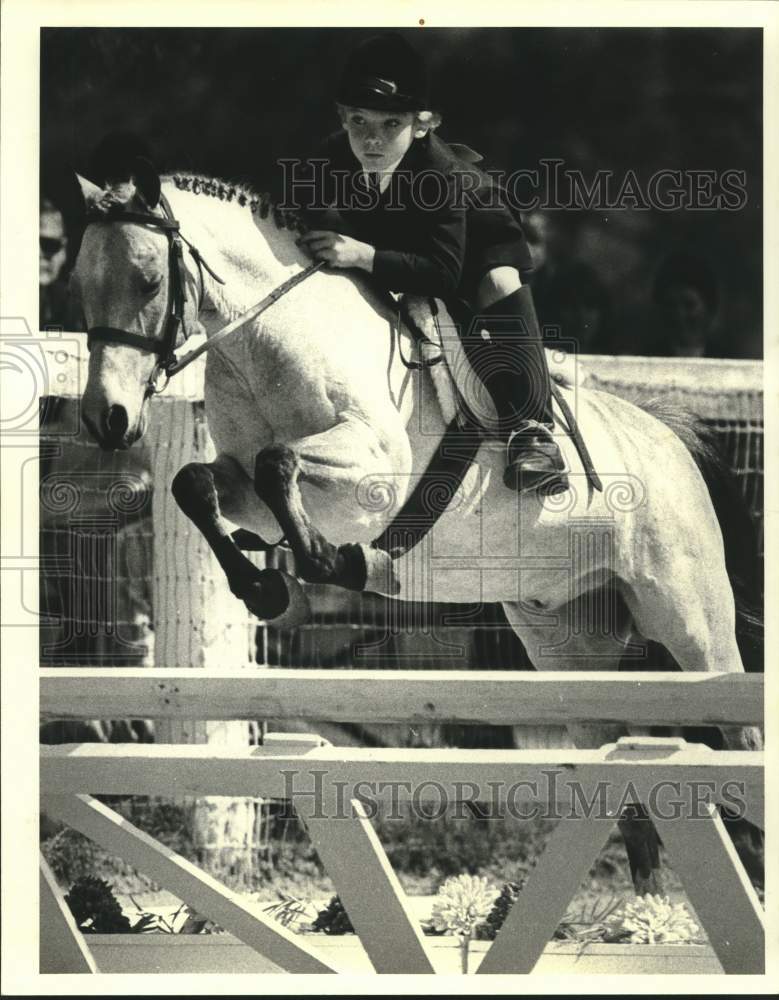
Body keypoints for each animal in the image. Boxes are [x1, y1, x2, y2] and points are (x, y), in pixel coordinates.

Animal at [71, 168, 760, 896]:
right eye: (80, 283)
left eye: (149, 280)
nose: (108, 419)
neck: (274, 349)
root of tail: (667, 434)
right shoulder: (242, 486)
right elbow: (197, 485)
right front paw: (266, 587)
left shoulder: (373, 473)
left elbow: (279, 463)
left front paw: (327, 564)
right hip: (569, 646)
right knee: (626, 790)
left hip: (689, 623)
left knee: (737, 735)